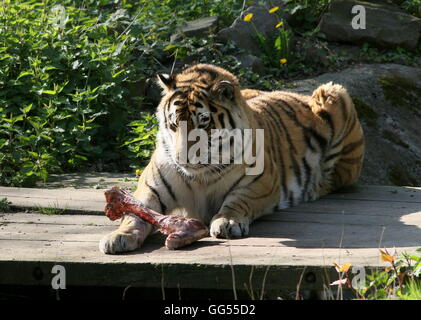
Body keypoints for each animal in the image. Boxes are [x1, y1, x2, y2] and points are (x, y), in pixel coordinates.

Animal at [99, 62, 364, 254]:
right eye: (174, 124)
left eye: (203, 123)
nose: (182, 158)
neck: (199, 176)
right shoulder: (151, 188)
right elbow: (135, 213)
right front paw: (118, 237)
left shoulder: (261, 182)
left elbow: (237, 200)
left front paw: (227, 222)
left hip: (334, 93)